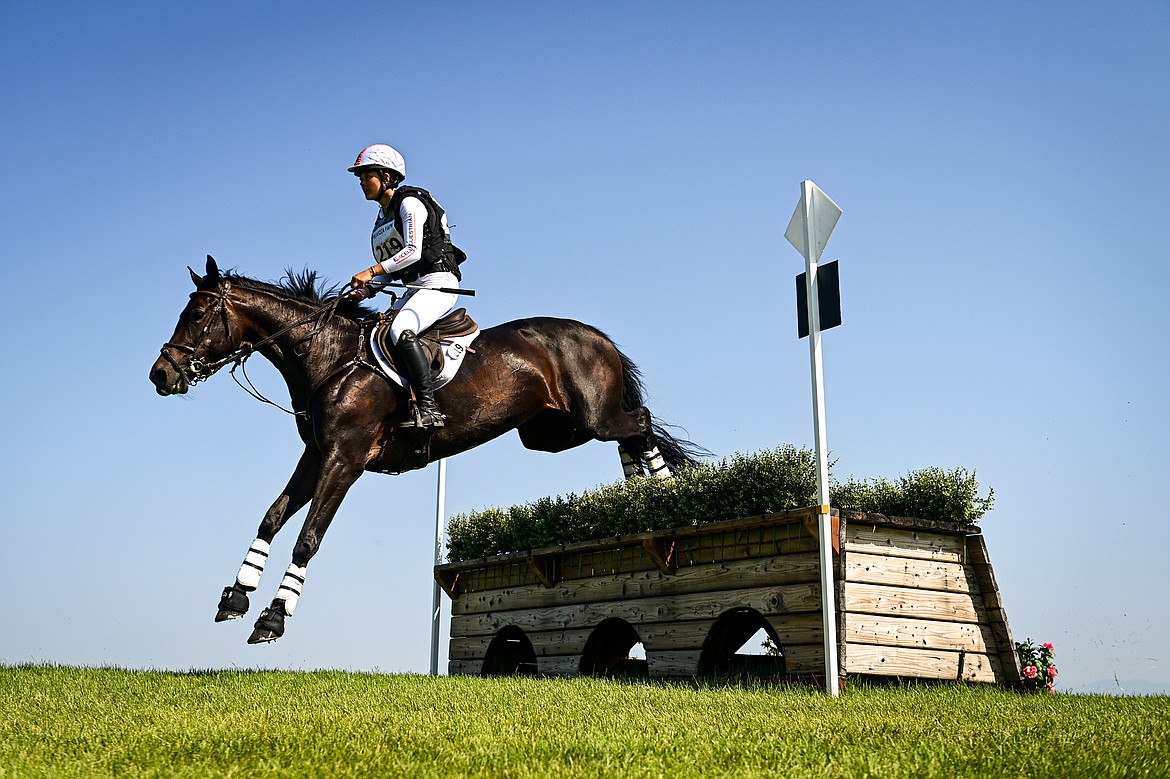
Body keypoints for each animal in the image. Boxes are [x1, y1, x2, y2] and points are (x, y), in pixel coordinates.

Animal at [149, 256, 697, 640]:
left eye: (195, 315)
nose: (160, 375)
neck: (329, 358)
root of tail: (596, 335)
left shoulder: (344, 460)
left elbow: (307, 537)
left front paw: (273, 619)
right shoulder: (317, 455)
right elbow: (271, 517)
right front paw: (235, 599)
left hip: (590, 418)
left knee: (639, 422)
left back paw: (669, 498)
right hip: (550, 433)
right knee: (631, 435)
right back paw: (640, 494)